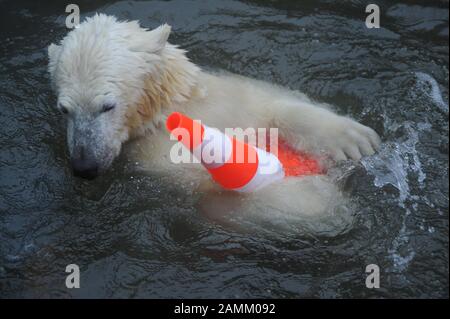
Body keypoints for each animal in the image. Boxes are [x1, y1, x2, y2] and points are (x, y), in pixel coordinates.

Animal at [48, 13, 380, 231]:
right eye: (65, 109)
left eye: (107, 106)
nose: (84, 166)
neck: (171, 108)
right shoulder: (152, 158)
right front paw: (316, 196)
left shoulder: (237, 95)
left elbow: (276, 108)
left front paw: (354, 141)